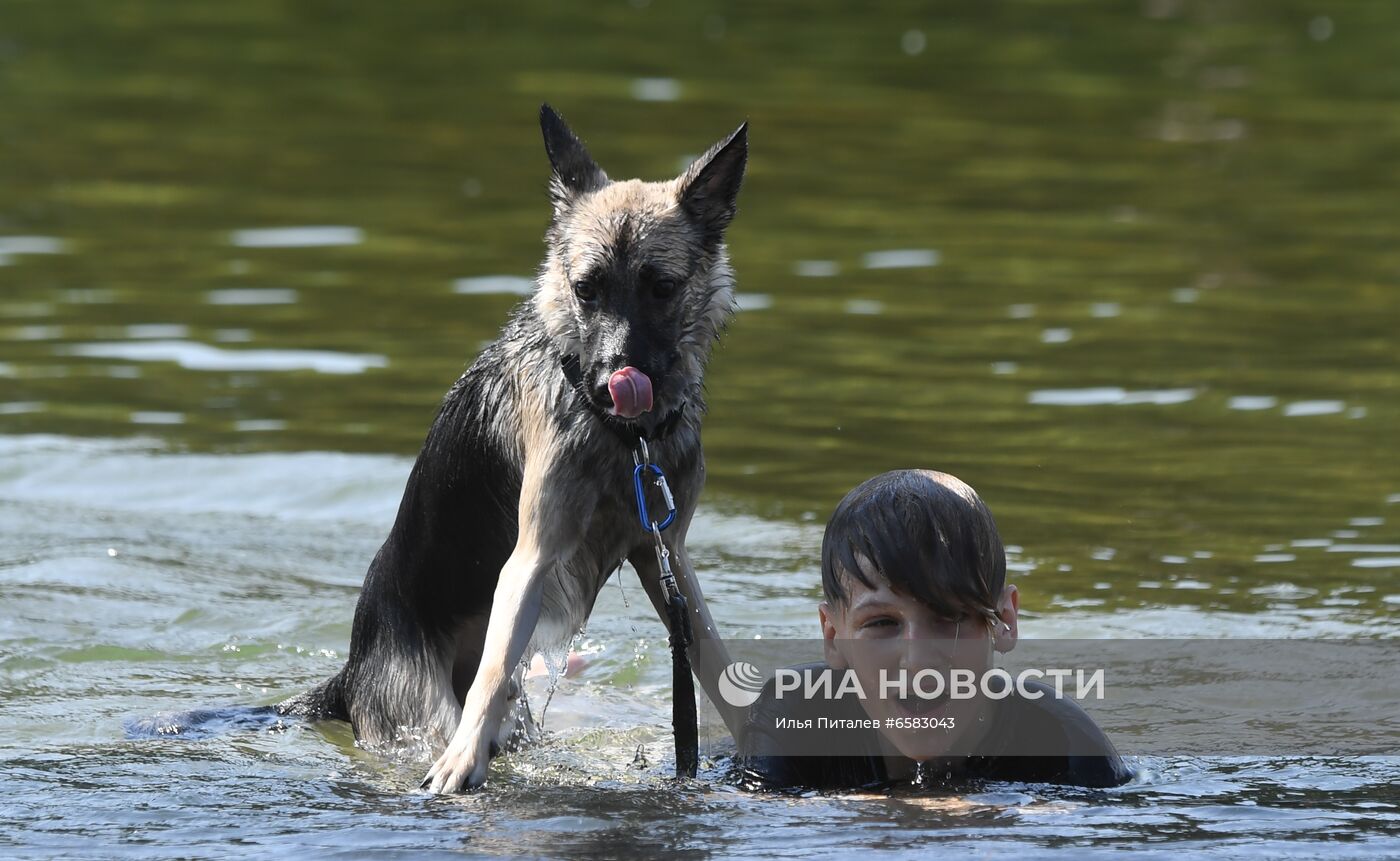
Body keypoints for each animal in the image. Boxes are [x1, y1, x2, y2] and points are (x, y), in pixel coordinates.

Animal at [278, 106, 750, 795]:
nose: (612, 379)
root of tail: (350, 673)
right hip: (420, 707)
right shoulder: (531, 556)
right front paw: (461, 759)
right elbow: (497, 665)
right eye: (587, 289)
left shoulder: (668, 556)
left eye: (661, 288)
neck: (626, 439)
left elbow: (712, 658)